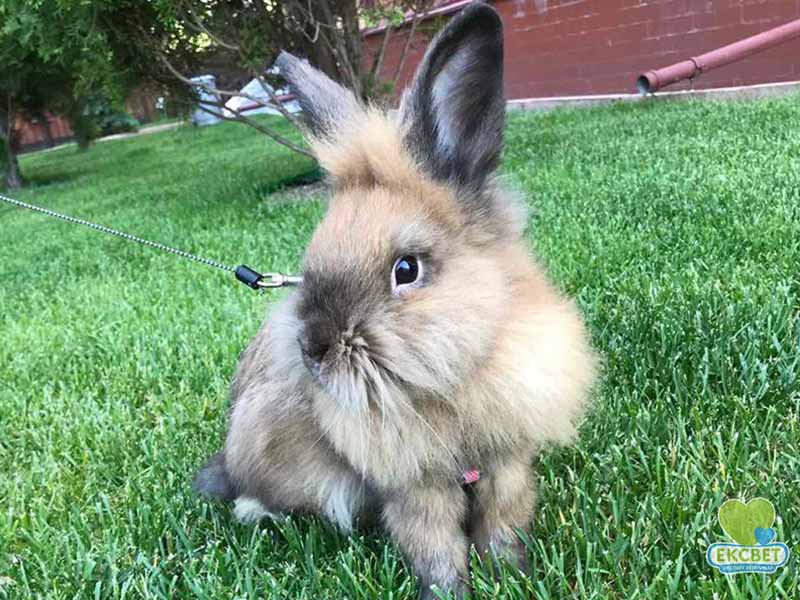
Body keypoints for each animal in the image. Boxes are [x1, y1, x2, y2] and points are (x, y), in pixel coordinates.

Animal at [194, 3, 597, 598]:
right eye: (313, 253)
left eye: (406, 270)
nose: (314, 350)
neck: (451, 384)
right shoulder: (415, 490)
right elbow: (435, 549)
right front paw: (450, 592)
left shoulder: (507, 467)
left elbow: (503, 527)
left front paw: (511, 577)